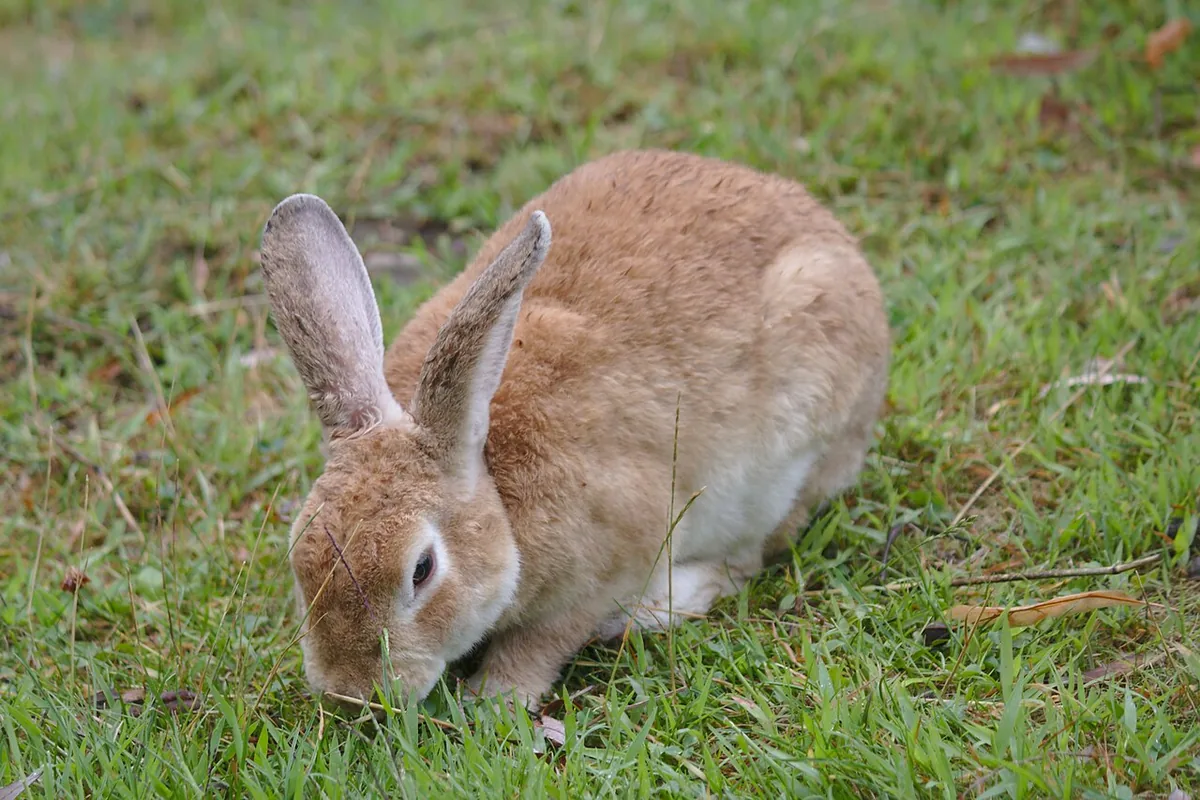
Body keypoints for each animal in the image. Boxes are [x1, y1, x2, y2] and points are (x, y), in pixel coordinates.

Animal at [259, 148, 890, 711]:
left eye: (422, 569)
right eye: (299, 553)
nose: (350, 693)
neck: (496, 489)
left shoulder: (606, 567)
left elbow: (542, 643)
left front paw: (495, 701)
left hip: (788, 458)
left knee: (753, 555)